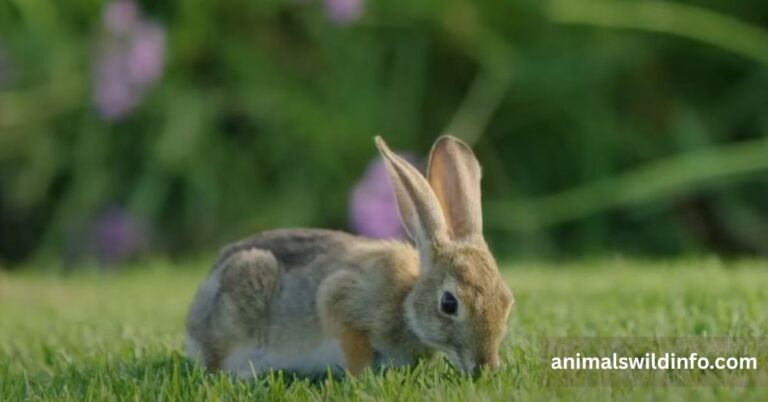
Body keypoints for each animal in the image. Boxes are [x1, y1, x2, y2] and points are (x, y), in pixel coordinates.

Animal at [185, 135, 515, 378]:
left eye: (506, 301)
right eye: (448, 304)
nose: (485, 368)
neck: (406, 301)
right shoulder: (340, 302)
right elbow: (353, 346)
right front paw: (362, 378)